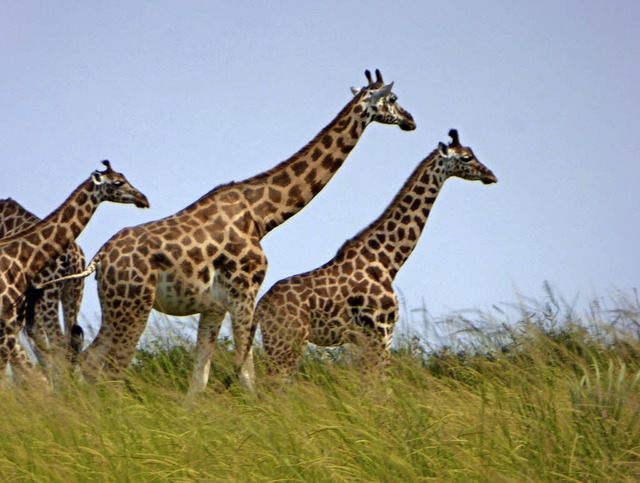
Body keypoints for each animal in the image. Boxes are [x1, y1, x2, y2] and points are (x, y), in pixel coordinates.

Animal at [45, 69, 416, 394]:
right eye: (393, 99)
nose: (411, 121)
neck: (262, 215)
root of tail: (101, 258)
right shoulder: (245, 292)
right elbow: (247, 373)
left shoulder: (214, 305)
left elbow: (200, 378)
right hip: (134, 304)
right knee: (112, 369)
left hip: (115, 305)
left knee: (89, 361)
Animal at [252, 130, 498, 382]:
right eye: (466, 157)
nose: (490, 175)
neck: (387, 260)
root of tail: (261, 307)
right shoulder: (379, 331)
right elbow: (379, 385)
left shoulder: (372, 338)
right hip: (287, 342)